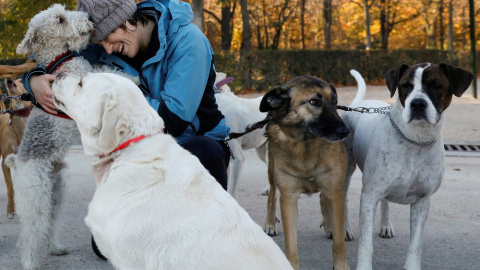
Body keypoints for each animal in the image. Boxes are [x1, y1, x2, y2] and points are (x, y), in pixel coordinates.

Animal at [8, 4, 137, 270]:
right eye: (60, 19)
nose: (88, 19)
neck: (58, 60)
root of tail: (18, 161)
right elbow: (102, 76)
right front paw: (131, 79)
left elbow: (103, 71)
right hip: (36, 195)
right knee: (29, 232)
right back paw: (29, 262)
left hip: (57, 192)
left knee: (49, 223)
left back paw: (55, 248)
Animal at [260, 76, 350, 270]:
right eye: (314, 102)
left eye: (334, 101)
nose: (345, 132)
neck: (305, 144)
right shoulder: (289, 198)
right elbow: (291, 246)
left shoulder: (335, 191)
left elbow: (339, 242)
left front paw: (341, 265)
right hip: (272, 174)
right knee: (271, 196)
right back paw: (270, 223)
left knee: (323, 199)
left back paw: (329, 225)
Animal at [344, 63, 474, 270]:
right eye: (406, 85)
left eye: (436, 85)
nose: (417, 104)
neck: (416, 141)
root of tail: (358, 104)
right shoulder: (369, 196)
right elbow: (366, 243)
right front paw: (364, 266)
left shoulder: (422, 201)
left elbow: (415, 244)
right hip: (346, 171)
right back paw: (343, 230)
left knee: (385, 201)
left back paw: (385, 225)